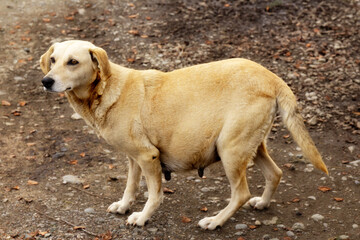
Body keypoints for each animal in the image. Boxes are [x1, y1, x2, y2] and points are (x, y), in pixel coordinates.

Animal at [40, 39, 330, 231]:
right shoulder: (133, 159)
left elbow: (154, 194)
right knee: (275, 173)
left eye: (73, 62)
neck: (106, 89)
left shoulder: (148, 157)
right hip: (251, 146)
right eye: (53, 60)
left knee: (241, 193)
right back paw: (262, 204)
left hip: (230, 150)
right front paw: (124, 207)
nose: (46, 81)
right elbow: (130, 186)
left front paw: (142, 217)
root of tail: (271, 77)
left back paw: (215, 221)